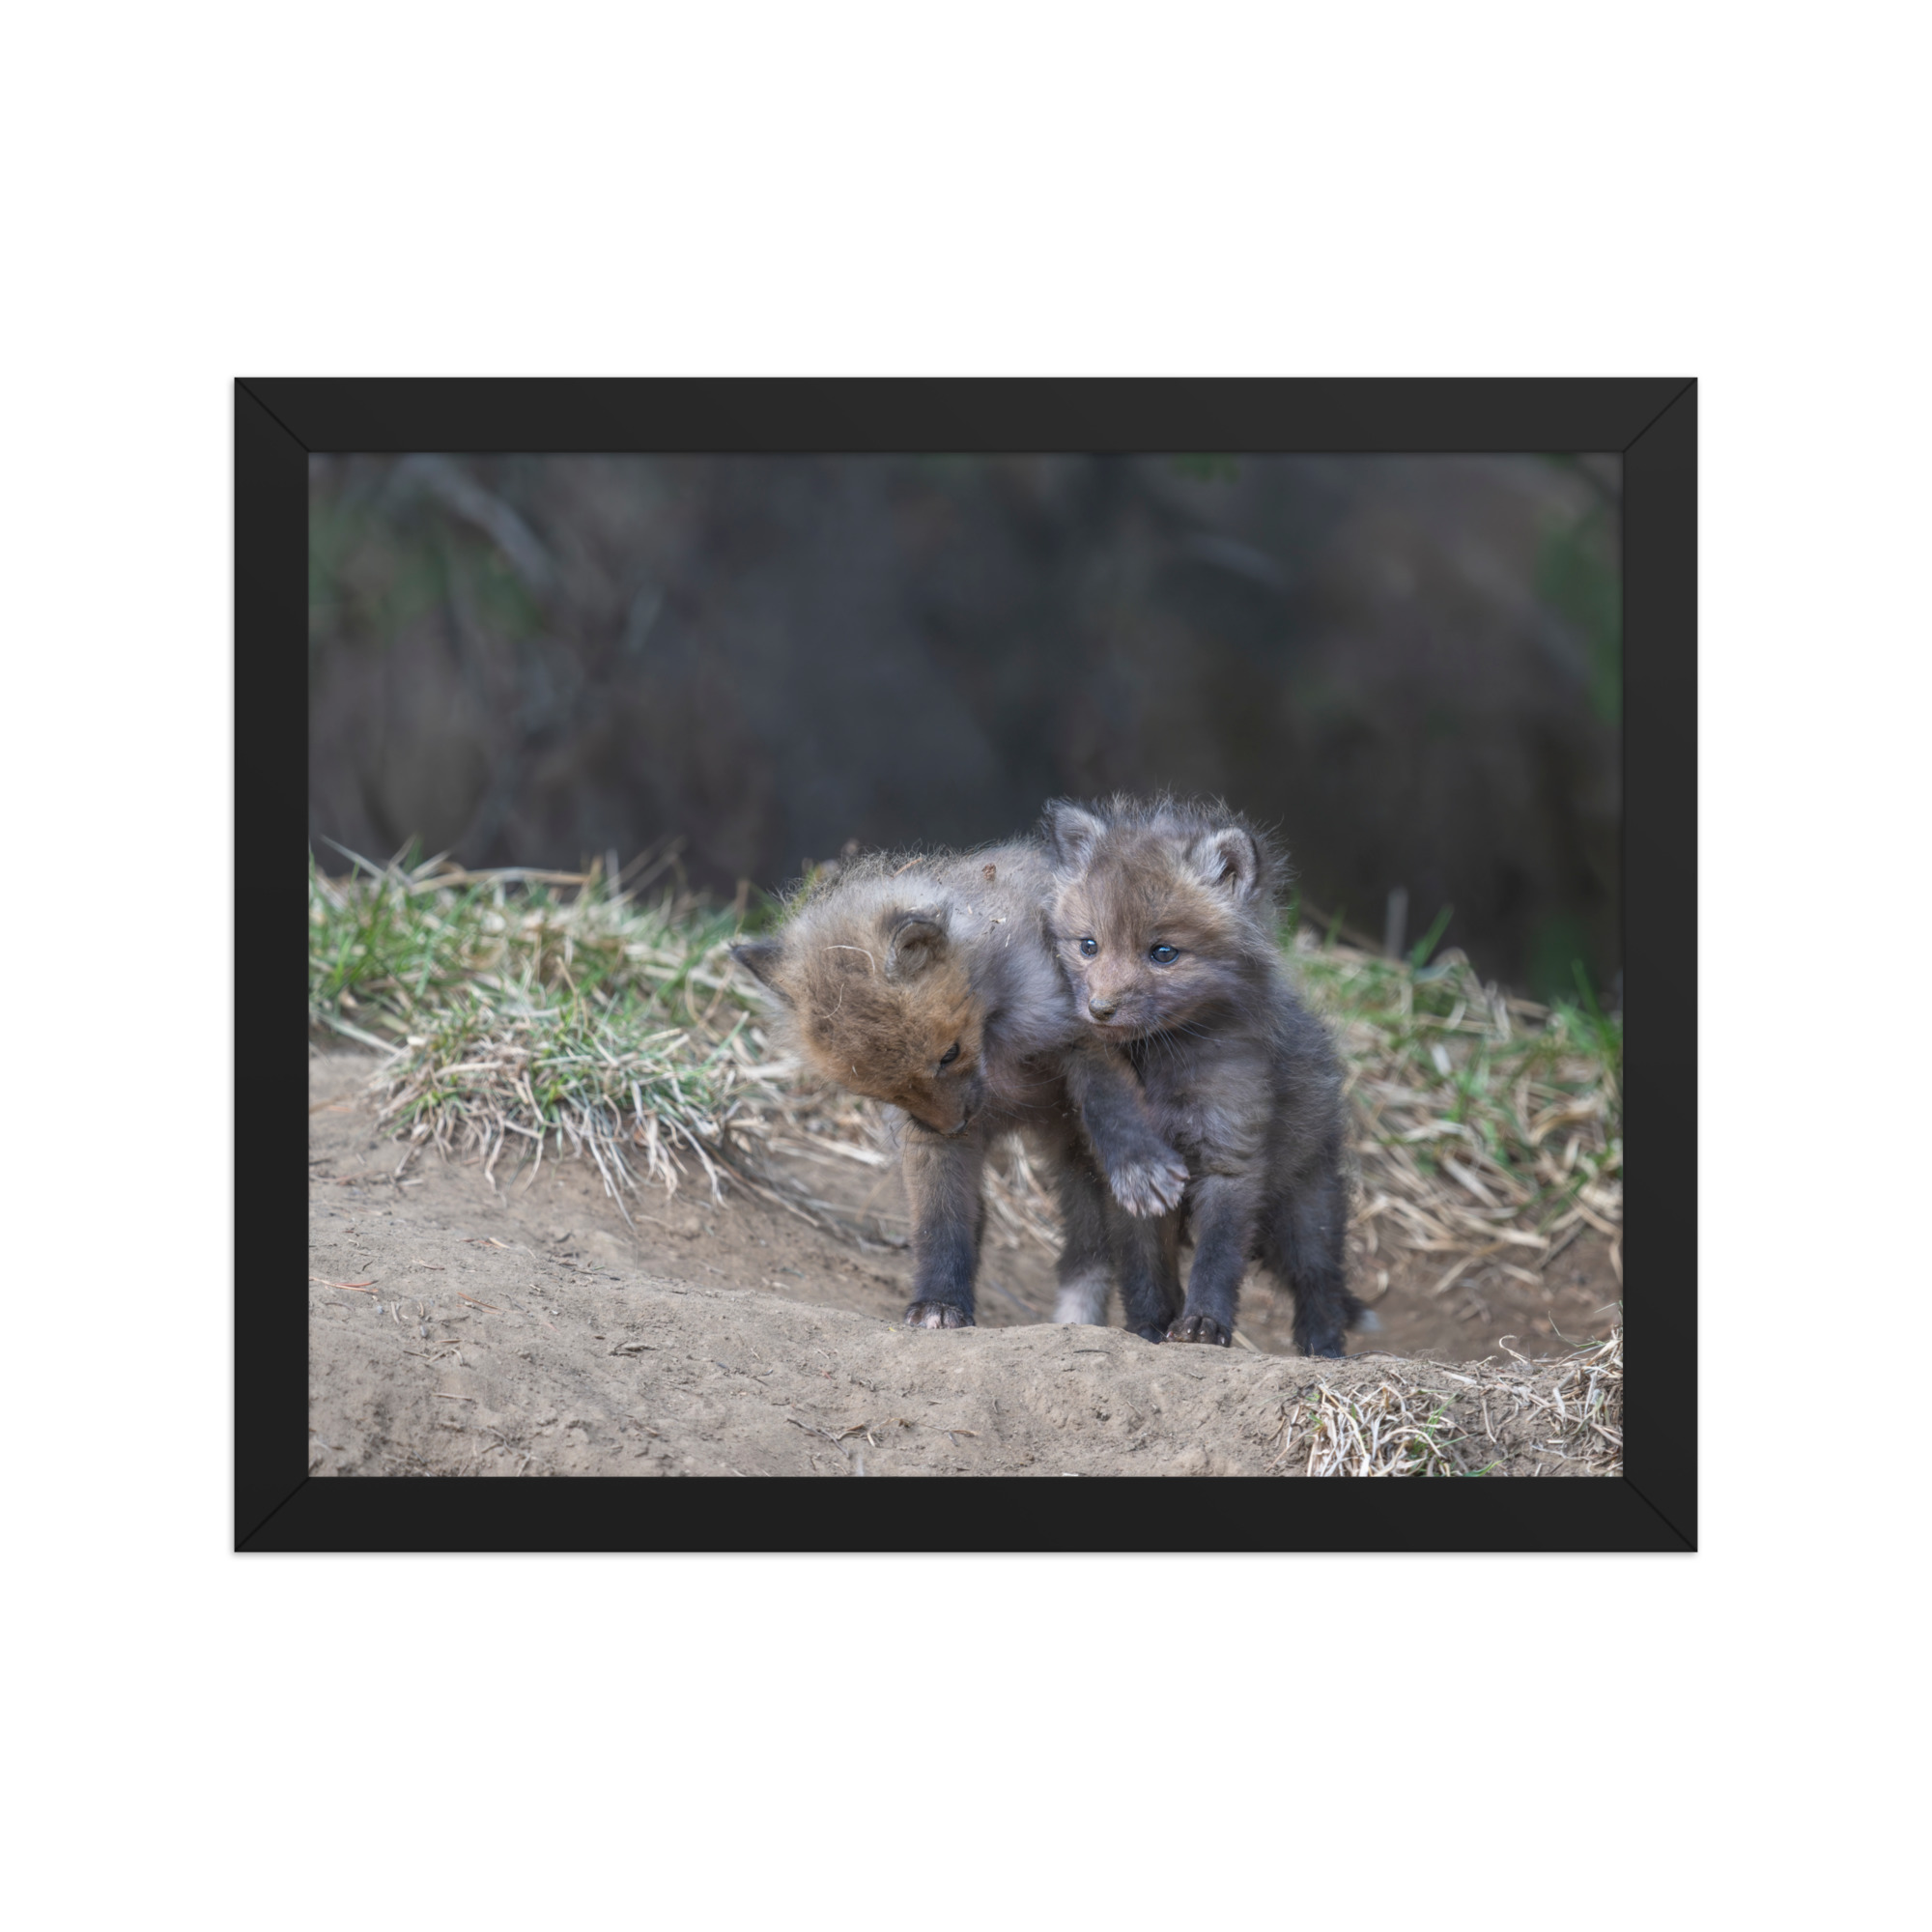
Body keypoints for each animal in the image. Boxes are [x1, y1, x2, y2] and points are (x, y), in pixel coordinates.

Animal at [730, 841, 1189, 1338]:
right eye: (883, 1091)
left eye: (949, 1054)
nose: (954, 1125)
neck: (998, 1046)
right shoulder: (924, 1137)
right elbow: (940, 1222)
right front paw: (940, 1303)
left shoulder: (1083, 1033)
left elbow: (1111, 1105)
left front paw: (1138, 1165)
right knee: (1084, 1251)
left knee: (1135, 1252)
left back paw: (1152, 1326)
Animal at [1042, 796, 1366, 1356]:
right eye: (1088, 946)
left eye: (1163, 953)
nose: (1099, 1009)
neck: (1161, 1066)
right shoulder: (1131, 1180)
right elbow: (1144, 1269)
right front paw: (1148, 1329)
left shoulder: (1230, 1157)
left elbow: (1217, 1259)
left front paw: (1203, 1326)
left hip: (1306, 1209)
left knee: (1320, 1282)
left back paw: (1323, 1352)